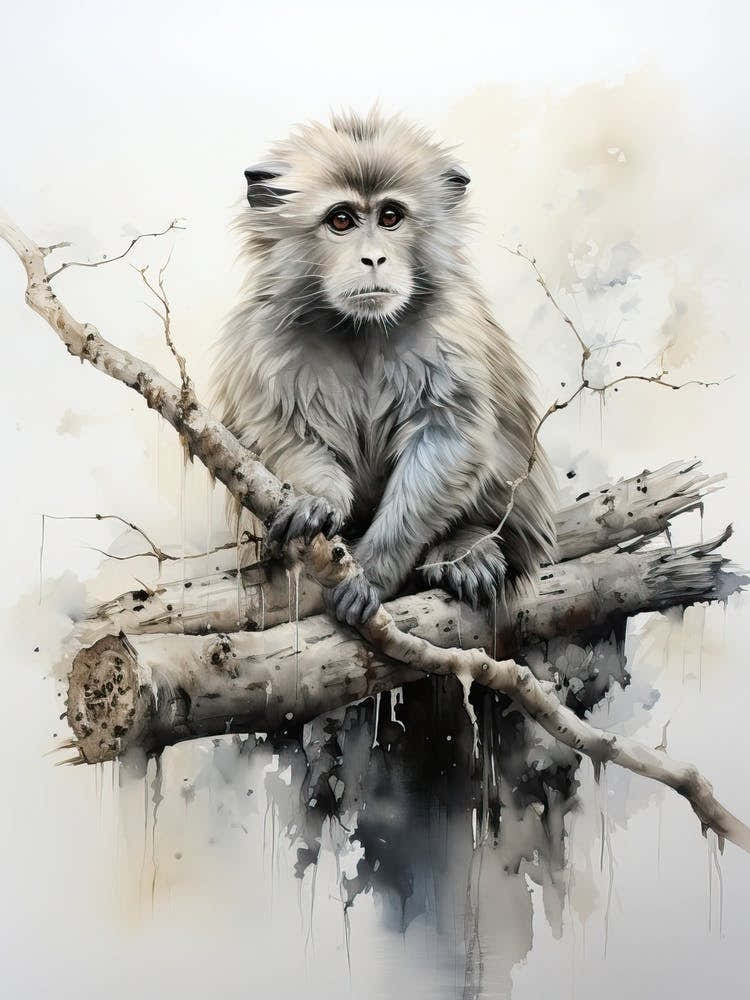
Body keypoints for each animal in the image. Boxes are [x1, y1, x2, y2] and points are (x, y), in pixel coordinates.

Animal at [212, 109, 557, 627]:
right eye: (341, 220)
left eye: (390, 217)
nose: (374, 257)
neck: (361, 329)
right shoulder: (268, 338)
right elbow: (283, 434)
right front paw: (316, 501)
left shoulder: (449, 327)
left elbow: (448, 436)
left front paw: (372, 574)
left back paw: (466, 547)